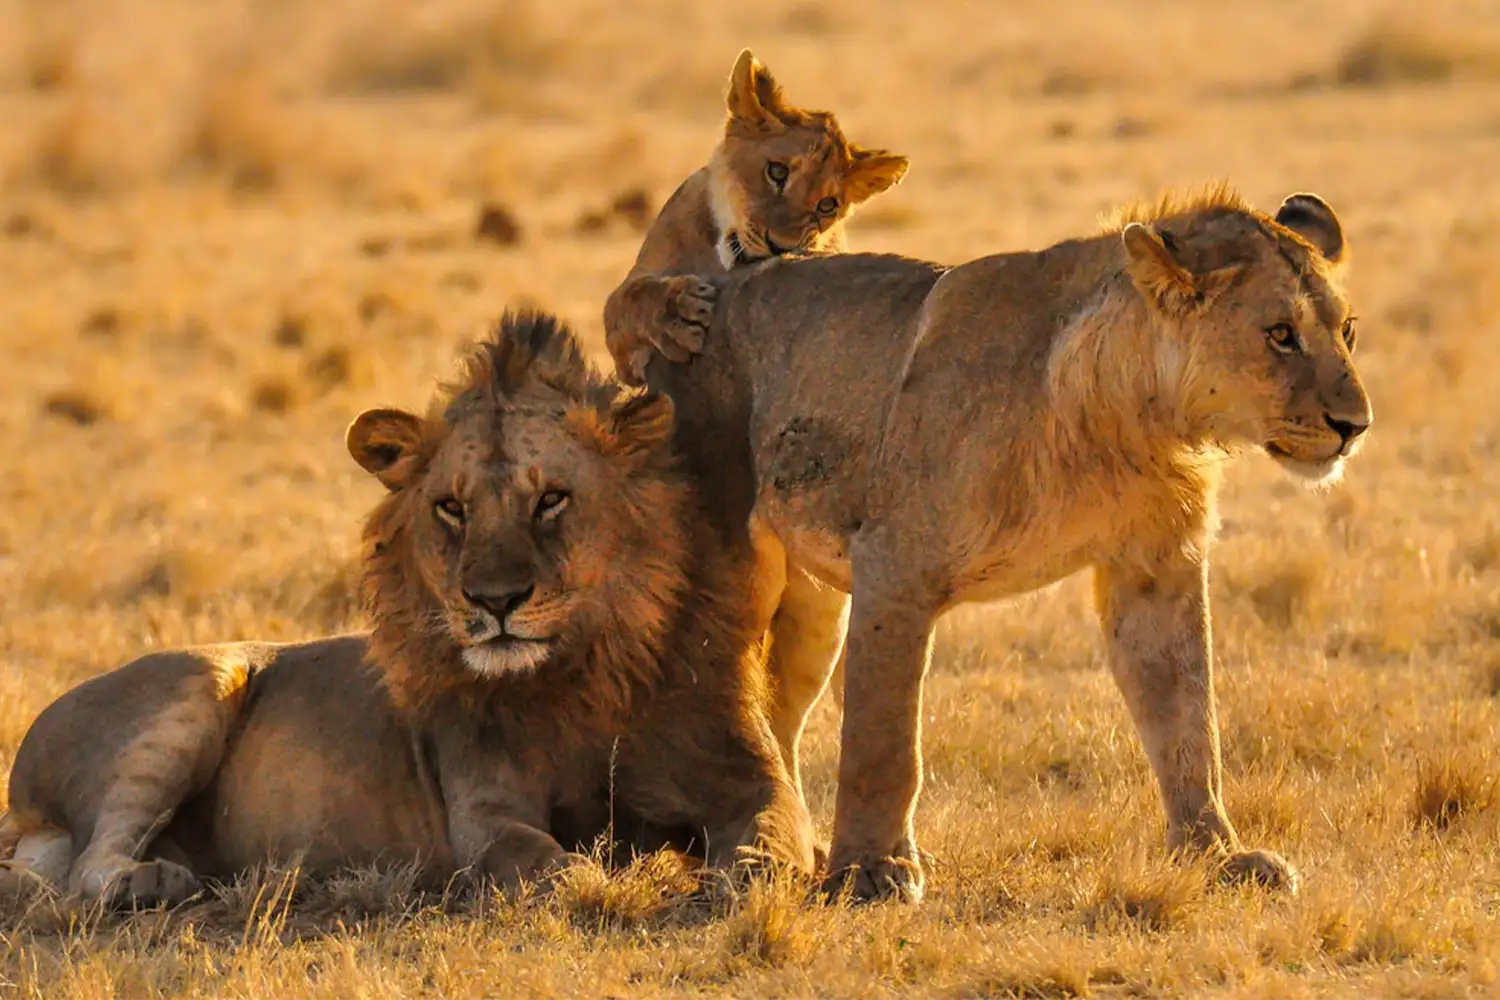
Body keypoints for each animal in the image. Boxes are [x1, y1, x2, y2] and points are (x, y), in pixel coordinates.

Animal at [0, 310, 816, 905]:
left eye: (551, 500)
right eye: (451, 508)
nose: (494, 601)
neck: (583, 676)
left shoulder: (749, 778)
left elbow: (776, 838)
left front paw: (750, 879)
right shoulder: (484, 813)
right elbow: (543, 861)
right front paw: (595, 878)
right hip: (196, 686)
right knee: (89, 865)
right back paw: (151, 881)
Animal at [603, 46, 906, 386]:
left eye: (827, 205)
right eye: (777, 172)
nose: (781, 246)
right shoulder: (626, 355)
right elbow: (627, 299)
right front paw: (676, 313)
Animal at [639, 183, 1374, 905]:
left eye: (1347, 331)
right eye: (1280, 335)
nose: (1356, 425)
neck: (1133, 422)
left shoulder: (1155, 567)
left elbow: (1188, 718)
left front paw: (1216, 854)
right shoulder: (894, 567)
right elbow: (885, 740)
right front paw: (871, 871)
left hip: (815, 604)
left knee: (778, 714)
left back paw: (799, 846)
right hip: (731, 564)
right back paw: (753, 857)